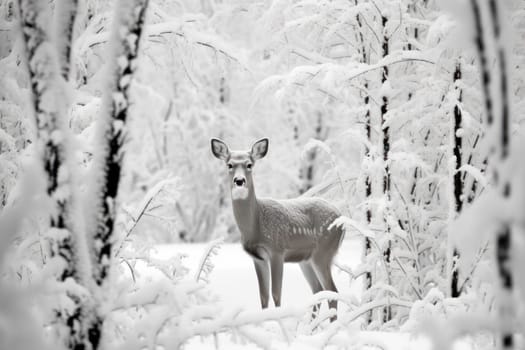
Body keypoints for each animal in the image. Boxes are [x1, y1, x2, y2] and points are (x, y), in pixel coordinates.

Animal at [210, 137, 344, 322]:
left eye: (249, 164)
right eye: (229, 165)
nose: (239, 181)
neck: (255, 226)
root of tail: (342, 217)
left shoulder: (277, 250)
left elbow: (276, 294)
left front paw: (279, 323)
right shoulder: (258, 258)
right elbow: (263, 296)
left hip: (324, 252)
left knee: (332, 291)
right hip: (306, 260)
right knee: (318, 290)